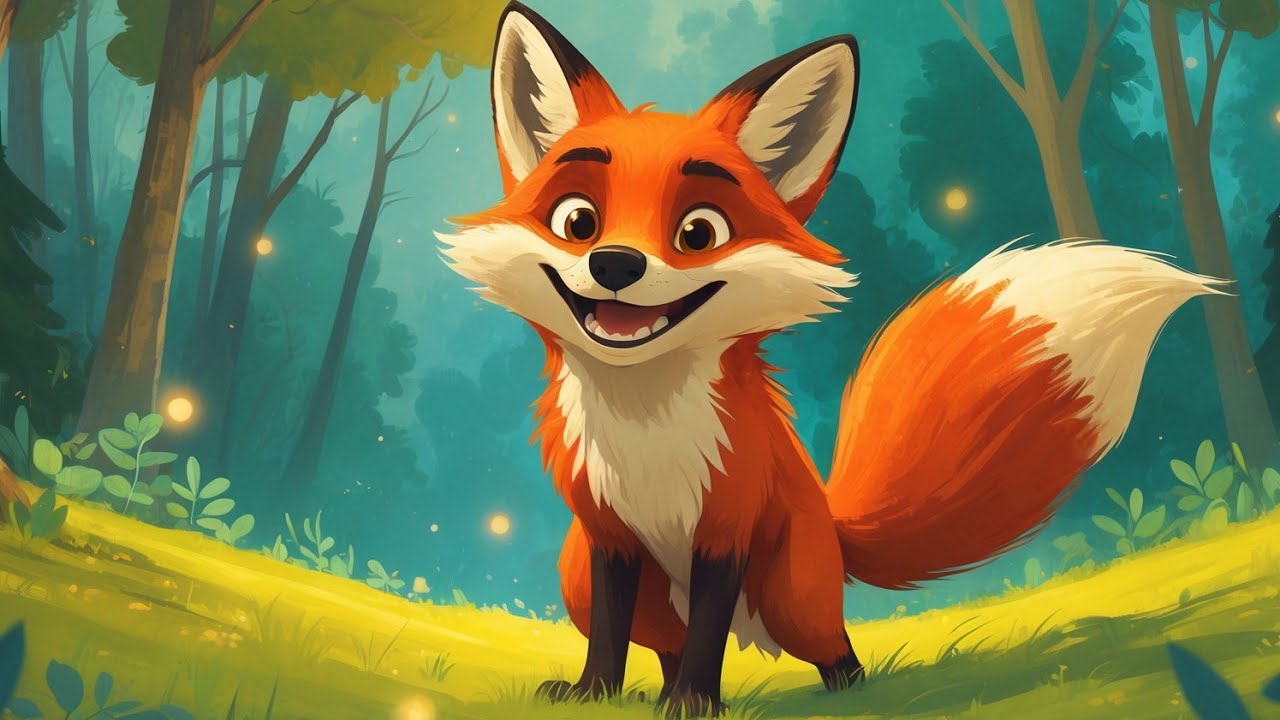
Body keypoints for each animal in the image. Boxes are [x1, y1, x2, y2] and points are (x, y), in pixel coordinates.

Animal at [439, 2, 1225, 716]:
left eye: (699, 232)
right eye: (578, 221)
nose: (615, 265)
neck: (646, 429)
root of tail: (833, 525)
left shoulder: (727, 525)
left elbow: (707, 639)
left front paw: (696, 703)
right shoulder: (607, 534)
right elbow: (609, 632)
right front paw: (594, 694)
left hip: (792, 595)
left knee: (830, 651)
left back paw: (840, 690)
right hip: (581, 574)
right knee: (663, 642)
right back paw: (653, 692)